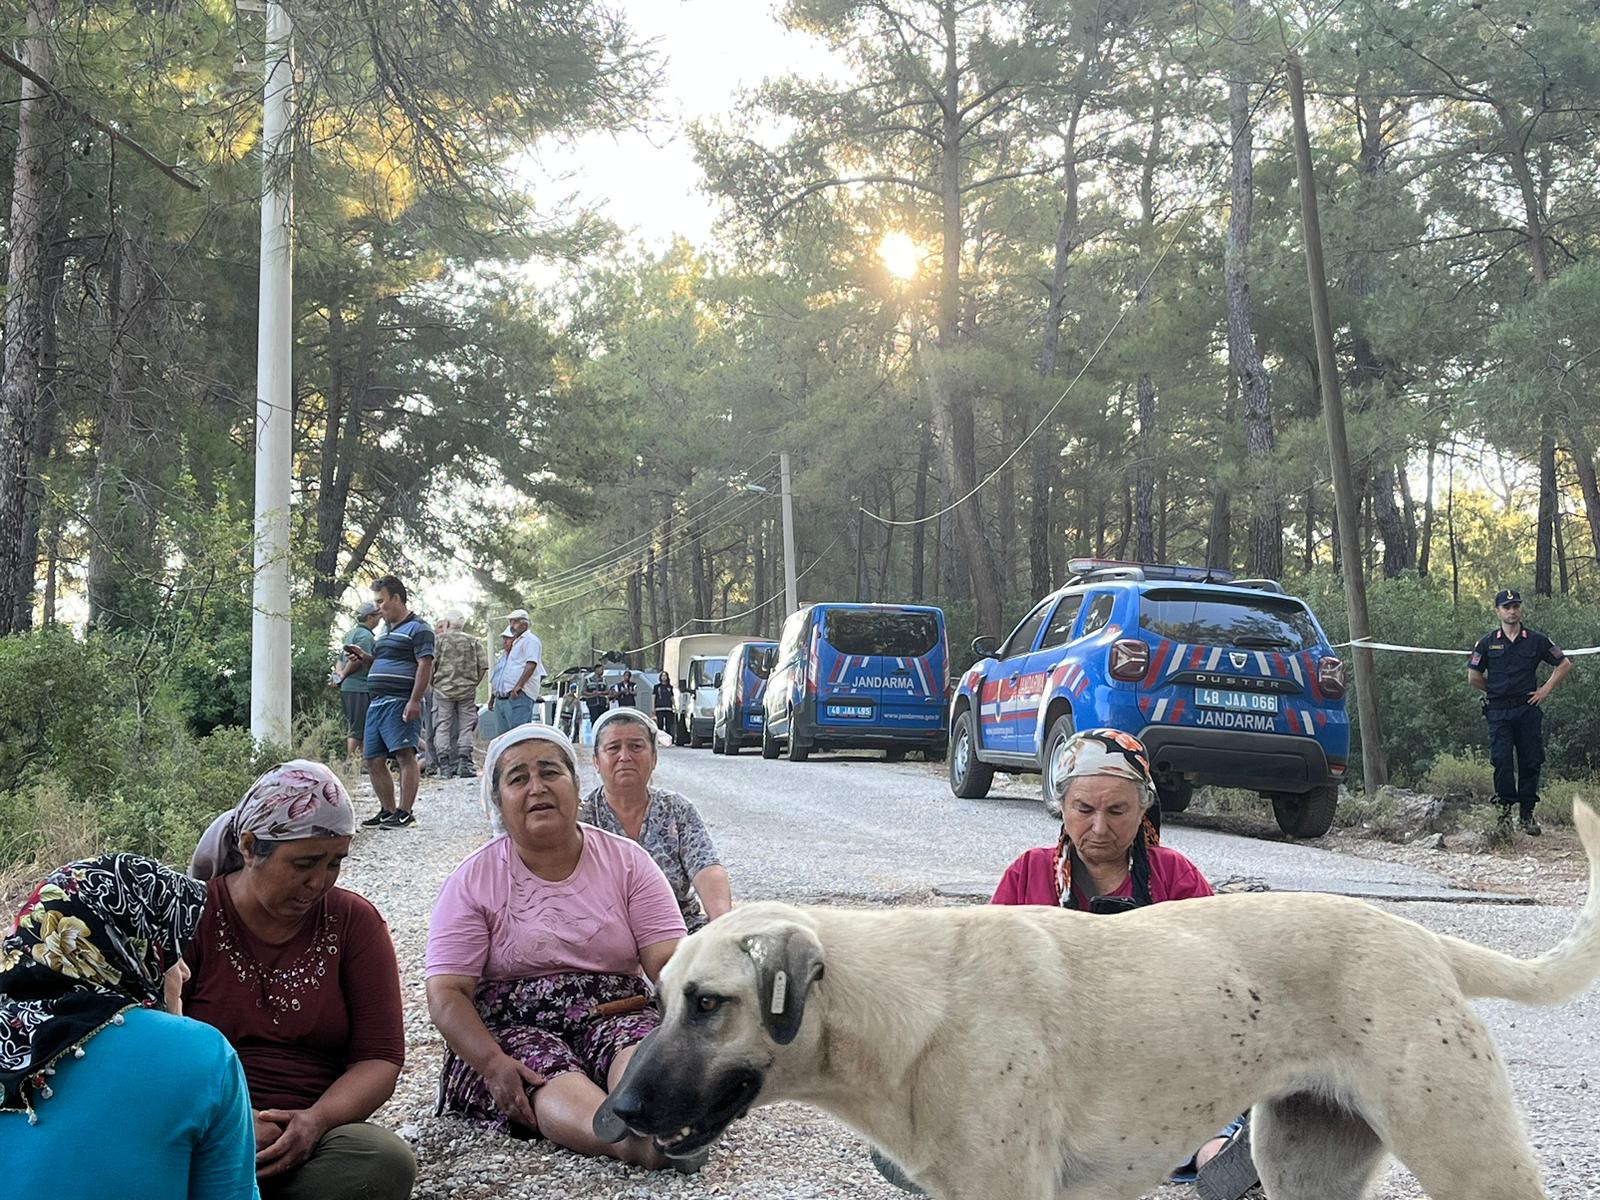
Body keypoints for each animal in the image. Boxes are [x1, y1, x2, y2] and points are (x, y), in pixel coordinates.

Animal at [598, 800, 1600, 1200]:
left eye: (708, 1003)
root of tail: (1422, 938)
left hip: (1471, 1157)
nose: (619, 1112)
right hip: (1302, 1165)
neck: (905, 1010)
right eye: (660, 996)